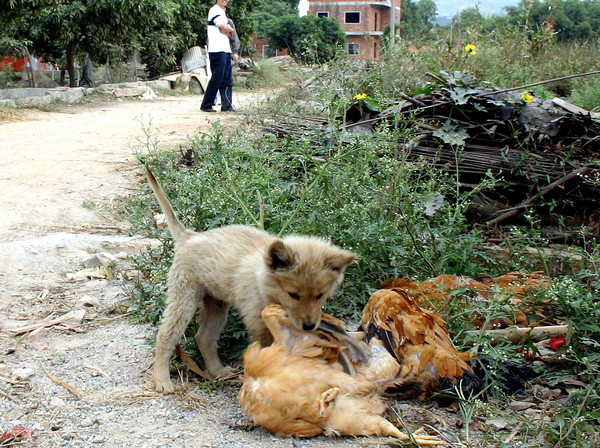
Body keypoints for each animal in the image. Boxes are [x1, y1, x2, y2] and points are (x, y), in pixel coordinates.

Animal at [145, 167, 356, 392]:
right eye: (293, 295)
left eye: (320, 295)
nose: (309, 326)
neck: (264, 283)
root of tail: (188, 236)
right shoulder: (258, 323)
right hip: (184, 298)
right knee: (165, 334)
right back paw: (162, 379)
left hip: (216, 303)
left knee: (204, 337)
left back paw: (218, 372)